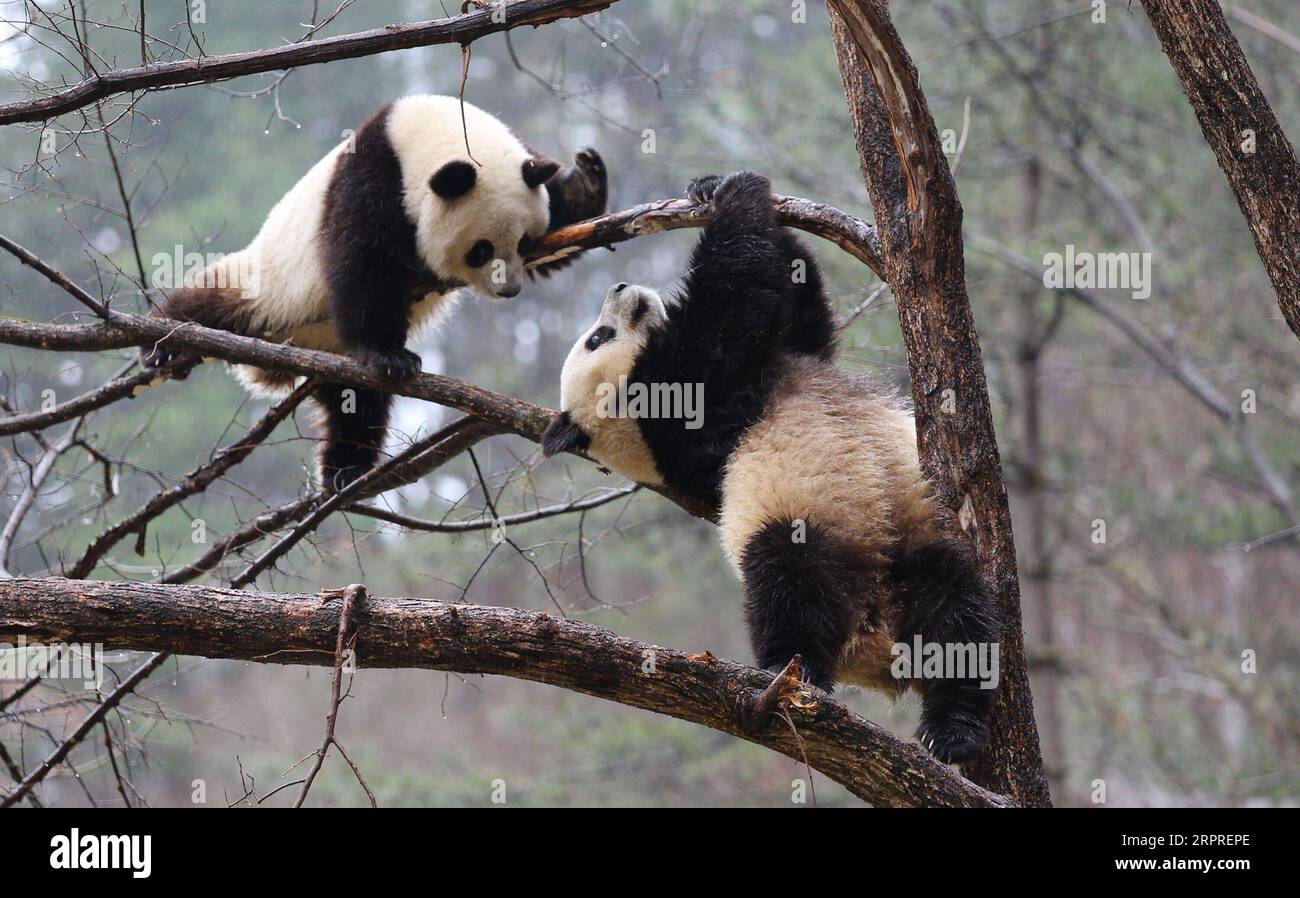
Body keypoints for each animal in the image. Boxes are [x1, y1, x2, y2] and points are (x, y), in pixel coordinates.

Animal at [142, 94, 608, 488]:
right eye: (481, 250)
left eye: (525, 242)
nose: (508, 289)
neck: (415, 133)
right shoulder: (370, 182)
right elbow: (360, 266)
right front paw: (391, 356)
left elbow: (562, 224)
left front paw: (588, 179)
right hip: (269, 285)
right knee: (215, 300)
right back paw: (164, 342)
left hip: (334, 357)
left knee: (355, 405)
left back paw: (345, 470)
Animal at [543, 170, 998, 764]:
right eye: (597, 338)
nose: (620, 288)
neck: (633, 434)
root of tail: (873, 634)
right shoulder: (682, 409)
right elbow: (734, 308)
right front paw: (738, 194)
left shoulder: (777, 365)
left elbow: (804, 316)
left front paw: (707, 186)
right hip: (804, 524)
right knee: (789, 585)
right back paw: (795, 684)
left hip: (908, 545)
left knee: (954, 614)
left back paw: (953, 729)